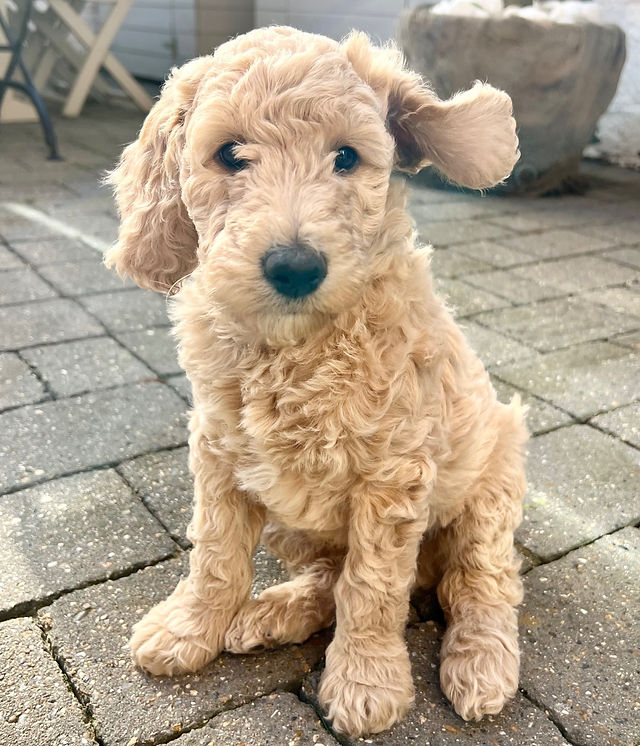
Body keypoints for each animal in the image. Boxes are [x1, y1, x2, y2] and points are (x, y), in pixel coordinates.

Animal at [106, 26, 524, 736]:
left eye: (346, 157)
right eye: (230, 154)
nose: (295, 266)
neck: (296, 346)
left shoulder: (393, 473)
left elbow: (372, 584)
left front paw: (366, 681)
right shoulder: (219, 452)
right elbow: (216, 554)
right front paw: (190, 628)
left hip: (491, 484)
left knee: (479, 580)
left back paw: (481, 662)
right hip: (288, 522)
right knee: (331, 572)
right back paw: (272, 613)